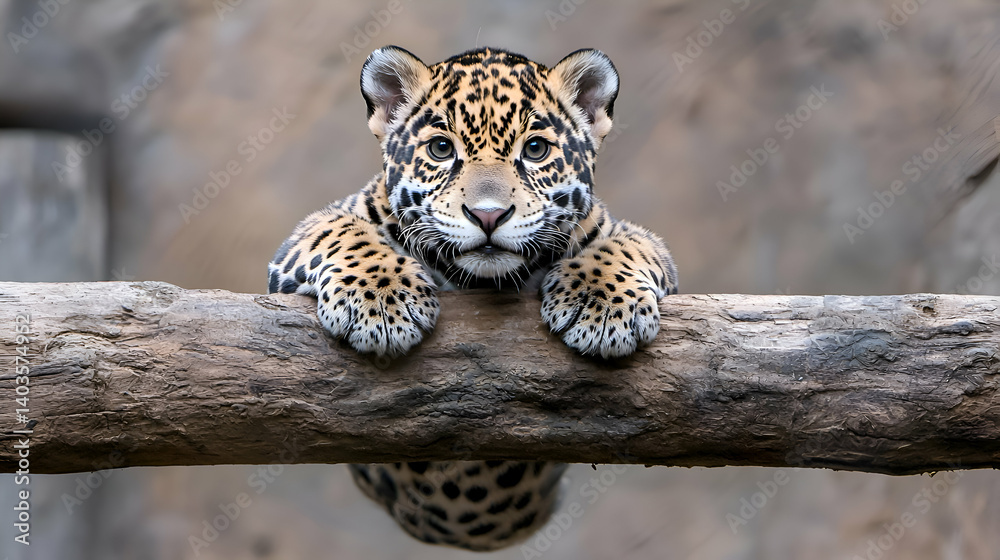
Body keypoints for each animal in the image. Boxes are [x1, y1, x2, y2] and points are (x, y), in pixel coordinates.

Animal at [268, 46, 677, 552]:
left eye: (535, 150)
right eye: (441, 150)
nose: (488, 215)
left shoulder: (635, 238)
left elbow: (621, 245)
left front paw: (602, 308)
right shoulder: (303, 241)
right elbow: (344, 231)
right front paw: (382, 304)